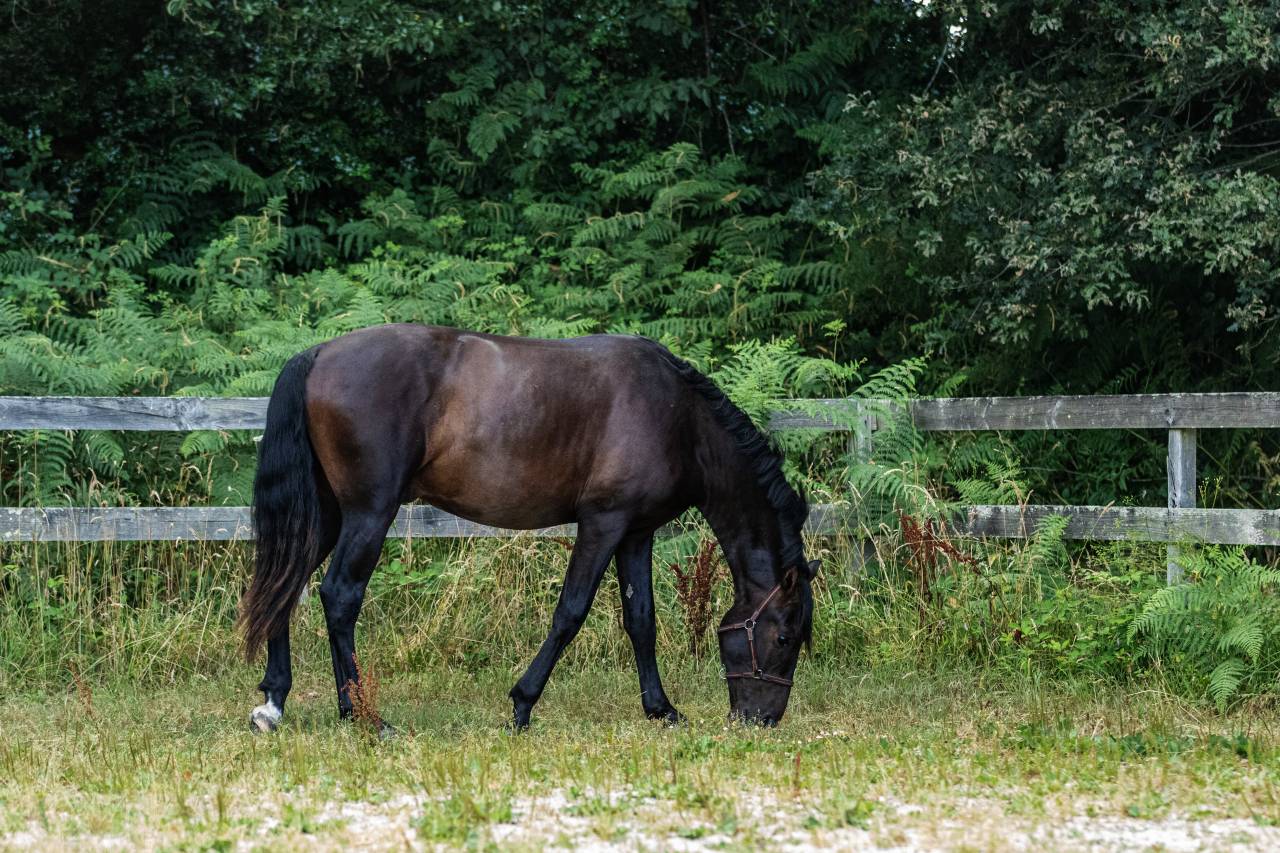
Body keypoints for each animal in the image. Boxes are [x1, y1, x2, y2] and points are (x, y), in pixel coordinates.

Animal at [239, 324, 819, 733]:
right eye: (784, 636)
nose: (762, 719)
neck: (679, 419)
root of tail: (319, 354)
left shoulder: (636, 533)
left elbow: (642, 620)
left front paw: (661, 709)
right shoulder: (603, 525)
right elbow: (570, 613)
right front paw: (522, 705)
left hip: (328, 515)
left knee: (285, 583)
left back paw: (275, 702)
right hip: (368, 513)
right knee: (339, 595)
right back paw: (364, 716)